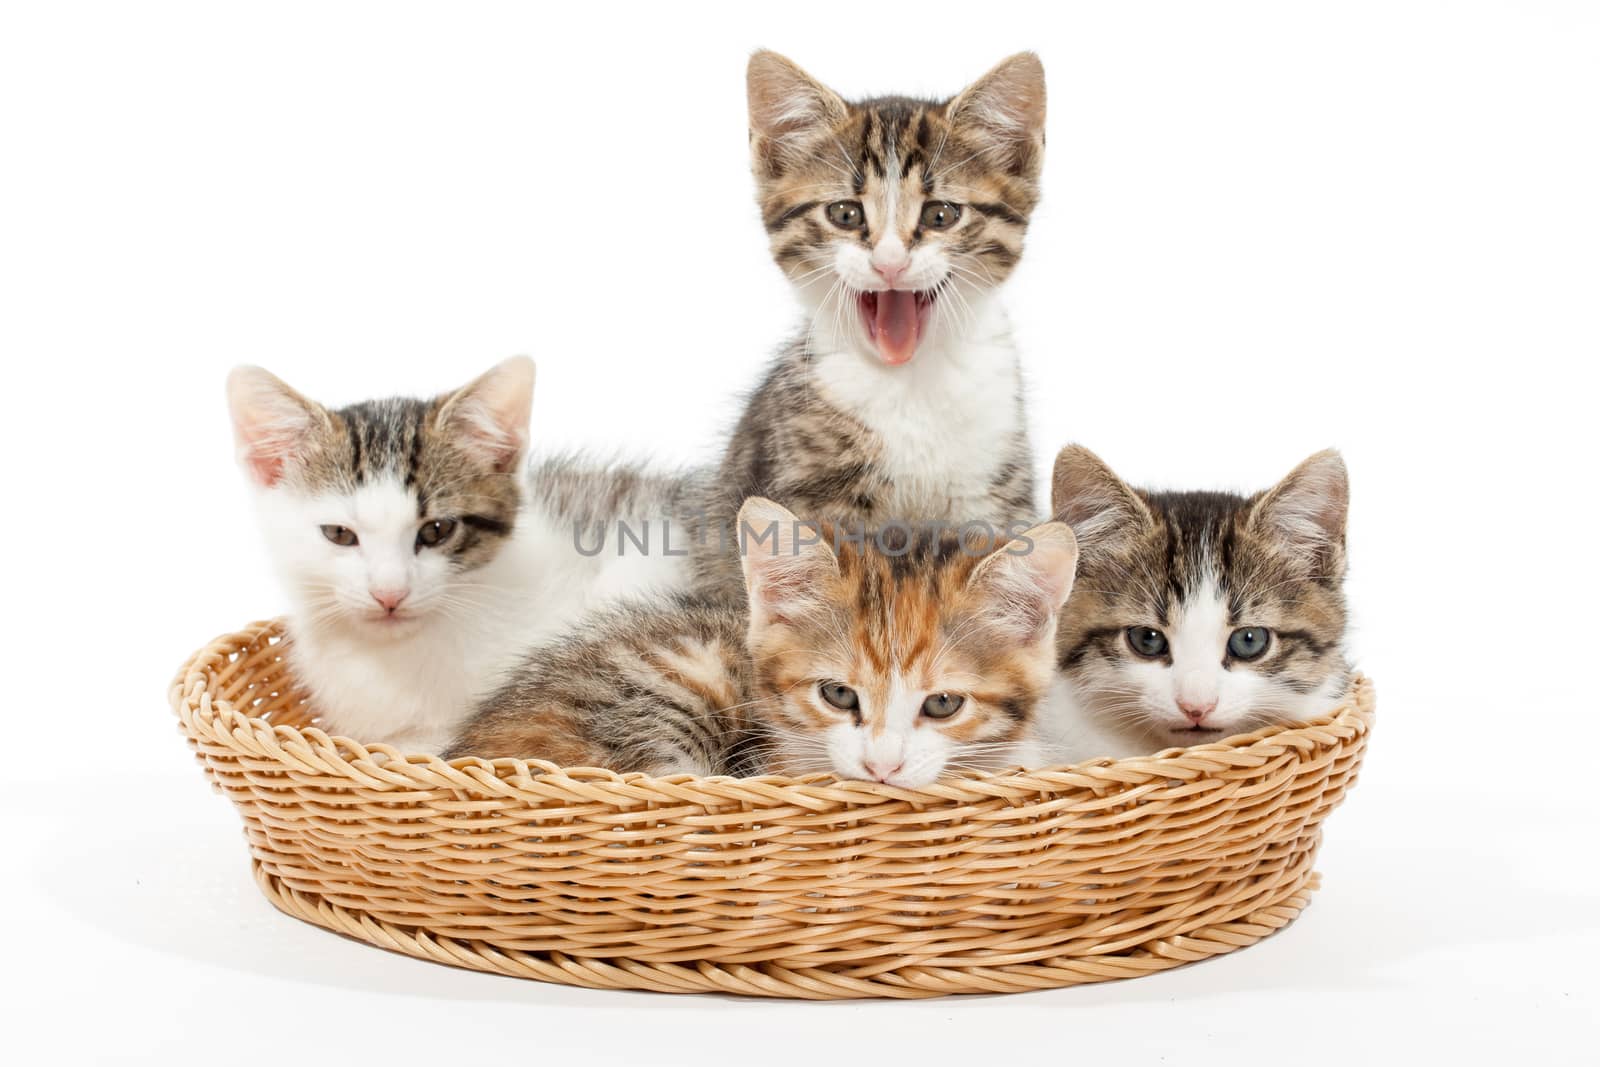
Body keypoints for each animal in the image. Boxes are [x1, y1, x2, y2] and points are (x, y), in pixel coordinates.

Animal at [678, 51, 1043, 601]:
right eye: (845, 214)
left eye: (941, 214)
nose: (890, 263)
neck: (910, 382)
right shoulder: (804, 488)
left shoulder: (994, 489)